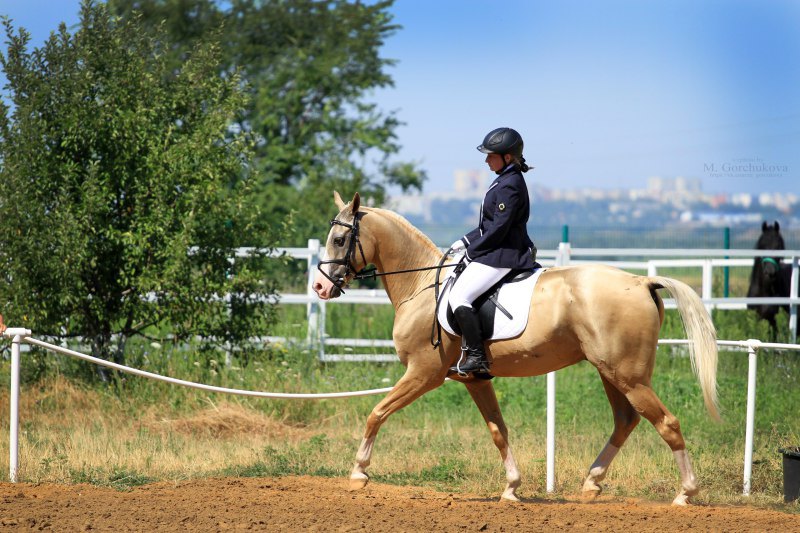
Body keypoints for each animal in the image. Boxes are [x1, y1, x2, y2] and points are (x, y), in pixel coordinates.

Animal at [312, 191, 720, 502]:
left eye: (340, 240)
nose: (319, 287)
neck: (422, 287)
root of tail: (641, 281)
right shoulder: (475, 379)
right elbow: (499, 430)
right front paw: (511, 487)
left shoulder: (423, 373)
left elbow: (376, 412)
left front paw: (359, 472)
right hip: (611, 372)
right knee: (625, 420)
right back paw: (592, 482)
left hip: (628, 376)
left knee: (666, 423)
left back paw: (685, 493)